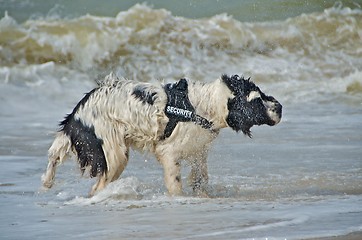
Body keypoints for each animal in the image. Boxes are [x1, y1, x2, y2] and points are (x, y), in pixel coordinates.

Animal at [41, 73, 282, 197]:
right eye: (257, 101)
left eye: (262, 94)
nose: (280, 107)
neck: (204, 107)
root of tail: (74, 117)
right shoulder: (169, 153)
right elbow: (176, 184)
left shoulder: (198, 151)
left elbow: (201, 178)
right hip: (115, 154)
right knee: (96, 188)